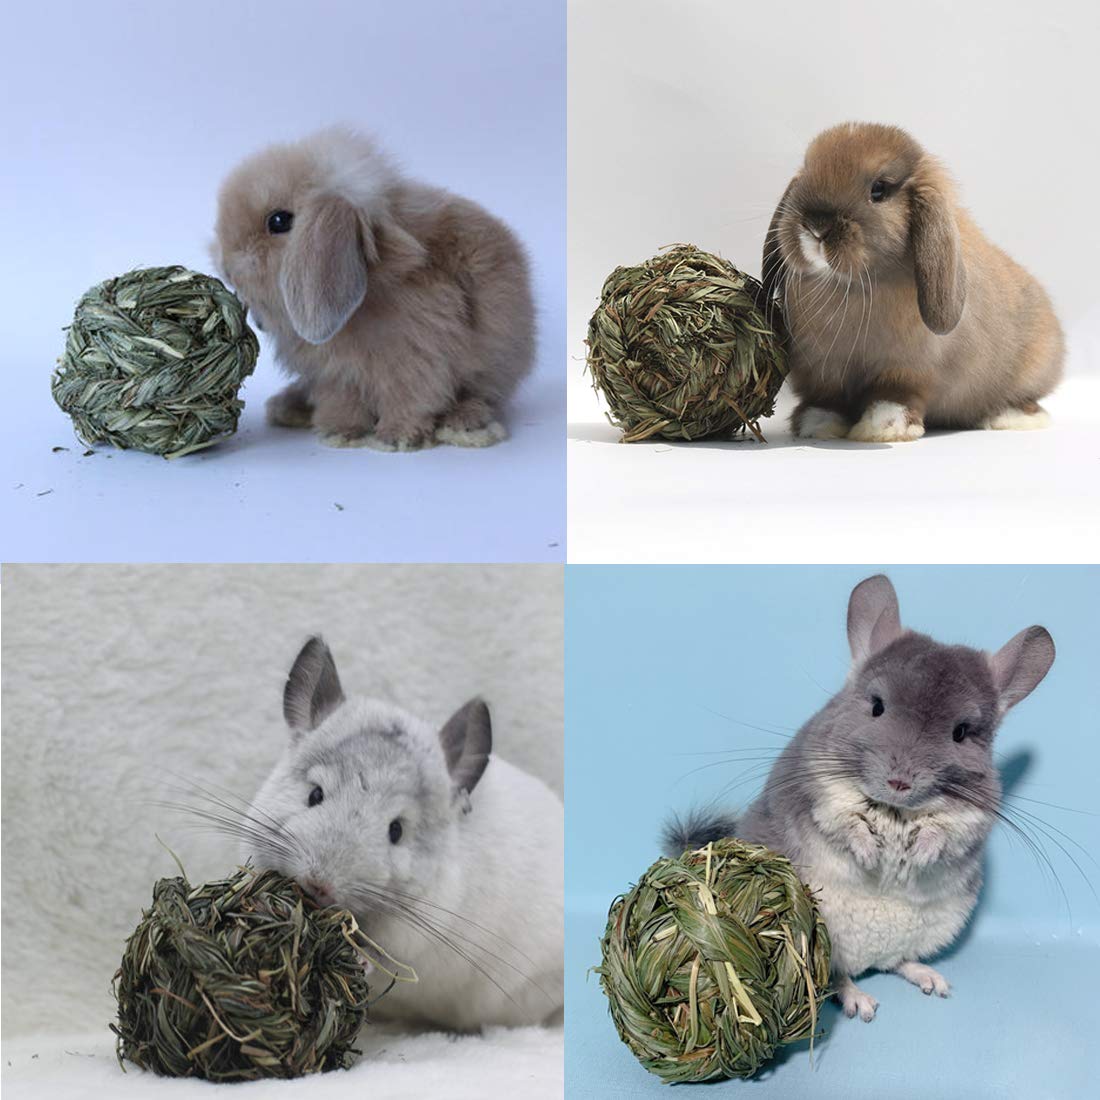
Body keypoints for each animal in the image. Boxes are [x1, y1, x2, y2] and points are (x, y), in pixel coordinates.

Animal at [212, 128, 535, 451]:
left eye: (279, 220)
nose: (225, 266)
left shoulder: (416, 360)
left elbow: (411, 398)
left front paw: (397, 437)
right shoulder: (336, 375)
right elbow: (343, 402)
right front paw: (340, 432)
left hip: (493, 363)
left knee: (482, 396)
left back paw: (463, 424)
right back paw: (289, 407)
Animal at [240, 637, 564, 1031]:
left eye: (396, 830)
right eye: (314, 795)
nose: (319, 885)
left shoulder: (410, 940)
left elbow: (381, 963)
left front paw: (360, 960)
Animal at [665, 575, 1054, 1021]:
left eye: (960, 732)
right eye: (877, 707)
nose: (900, 781)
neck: (897, 810)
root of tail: (870, 958)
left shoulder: (972, 818)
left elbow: (944, 833)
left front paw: (918, 856)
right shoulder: (822, 792)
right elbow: (846, 823)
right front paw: (872, 857)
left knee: (897, 962)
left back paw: (930, 979)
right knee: (839, 976)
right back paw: (860, 1003)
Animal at [761, 122, 1064, 442]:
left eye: (879, 189)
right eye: (806, 172)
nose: (817, 226)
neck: (848, 287)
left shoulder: (907, 370)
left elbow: (894, 397)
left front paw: (881, 429)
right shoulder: (821, 369)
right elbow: (826, 399)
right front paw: (817, 425)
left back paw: (1011, 417)